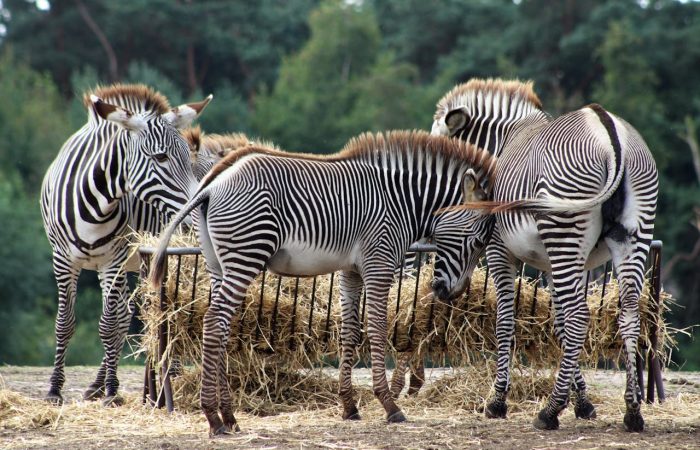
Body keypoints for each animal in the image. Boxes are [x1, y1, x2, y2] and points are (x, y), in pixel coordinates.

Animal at [40, 82, 211, 406]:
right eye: (160, 158)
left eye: (185, 158)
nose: (199, 209)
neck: (96, 202)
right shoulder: (63, 259)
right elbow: (64, 323)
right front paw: (54, 389)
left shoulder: (114, 260)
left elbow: (109, 325)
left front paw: (111, 391)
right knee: (125, 314)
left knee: (128, 317)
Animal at [149, 131, 498, 436]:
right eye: (479, 241)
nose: (450, 292)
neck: (401, 200)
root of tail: (212, 185)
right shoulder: (379, 262)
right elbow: (377, 328)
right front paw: (389, 406)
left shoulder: (351, 270)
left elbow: (350, 332)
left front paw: (349, 407)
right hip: (246, 254)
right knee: (213, 321)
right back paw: (213, 418)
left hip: (217, 262)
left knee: (220, 326)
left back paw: (230, 417)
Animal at [432, 80, 656, 432]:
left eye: (445, 231)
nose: (439, 290)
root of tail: (610, 137)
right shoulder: (560, 263)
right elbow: (560, 324)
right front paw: (582, 403)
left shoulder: (500, 249)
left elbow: (506, 321)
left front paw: (498, 402)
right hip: (632, 234)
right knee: (629, 315)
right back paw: (632, 411)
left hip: (564, 227)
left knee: (579, 317)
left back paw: (548, 413)